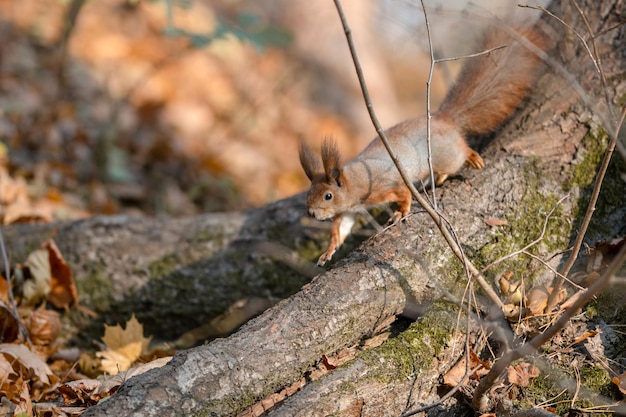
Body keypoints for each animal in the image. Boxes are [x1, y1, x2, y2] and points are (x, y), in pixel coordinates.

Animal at [300, 26, 544, 266]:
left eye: (328, 195)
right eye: (310, 192)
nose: (311, 213)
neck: (353, 183)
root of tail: (445, 119)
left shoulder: (384, 186)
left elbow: (404, 193)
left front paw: (402, 211)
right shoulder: (349, 211)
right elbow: (340, 230)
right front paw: (327, 253)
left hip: (447, 154)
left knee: (461, 152)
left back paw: (469, 159)